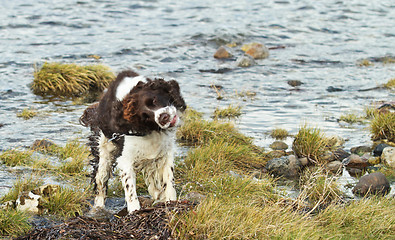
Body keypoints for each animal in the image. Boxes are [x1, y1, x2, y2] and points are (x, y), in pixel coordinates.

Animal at [80, 70, 187, 213]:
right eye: (145, 117)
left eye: (155, 100)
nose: (163, 117)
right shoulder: (125, 159)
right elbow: (130, 190)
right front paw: (134, 211)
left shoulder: (165, 153)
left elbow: (169, 182)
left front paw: (171, 202)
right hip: (103, 155)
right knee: (100, 185)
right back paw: (98, 209)